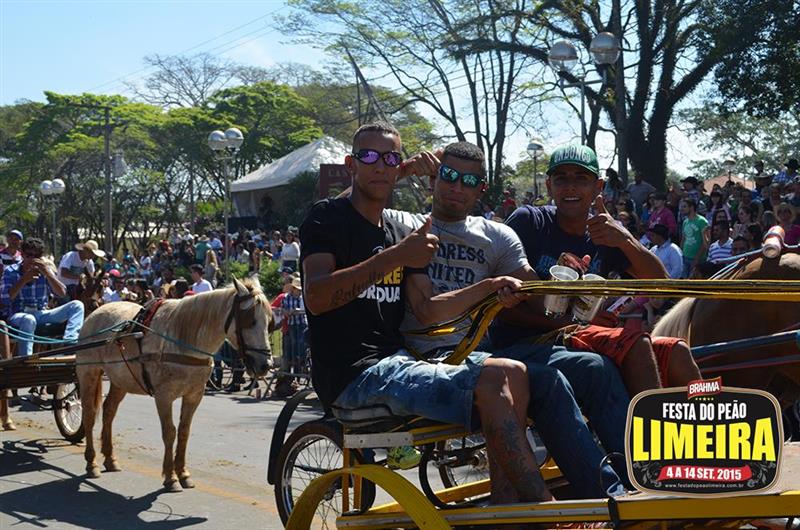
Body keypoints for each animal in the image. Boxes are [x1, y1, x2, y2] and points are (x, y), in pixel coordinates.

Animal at [76, 277, 274, 492]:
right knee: (89, 415)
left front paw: (183, 474)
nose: (266, 365)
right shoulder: (164, 397)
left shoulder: (194, 395)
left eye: (269, 322)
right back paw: (91, 462)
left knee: (109, 411)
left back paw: (110, 459)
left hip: (121, 381)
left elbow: (184, 432)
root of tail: (96, 312)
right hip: (88, 374)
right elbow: (170, 432)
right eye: (250, 320)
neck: (182, 340)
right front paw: (171, 477)